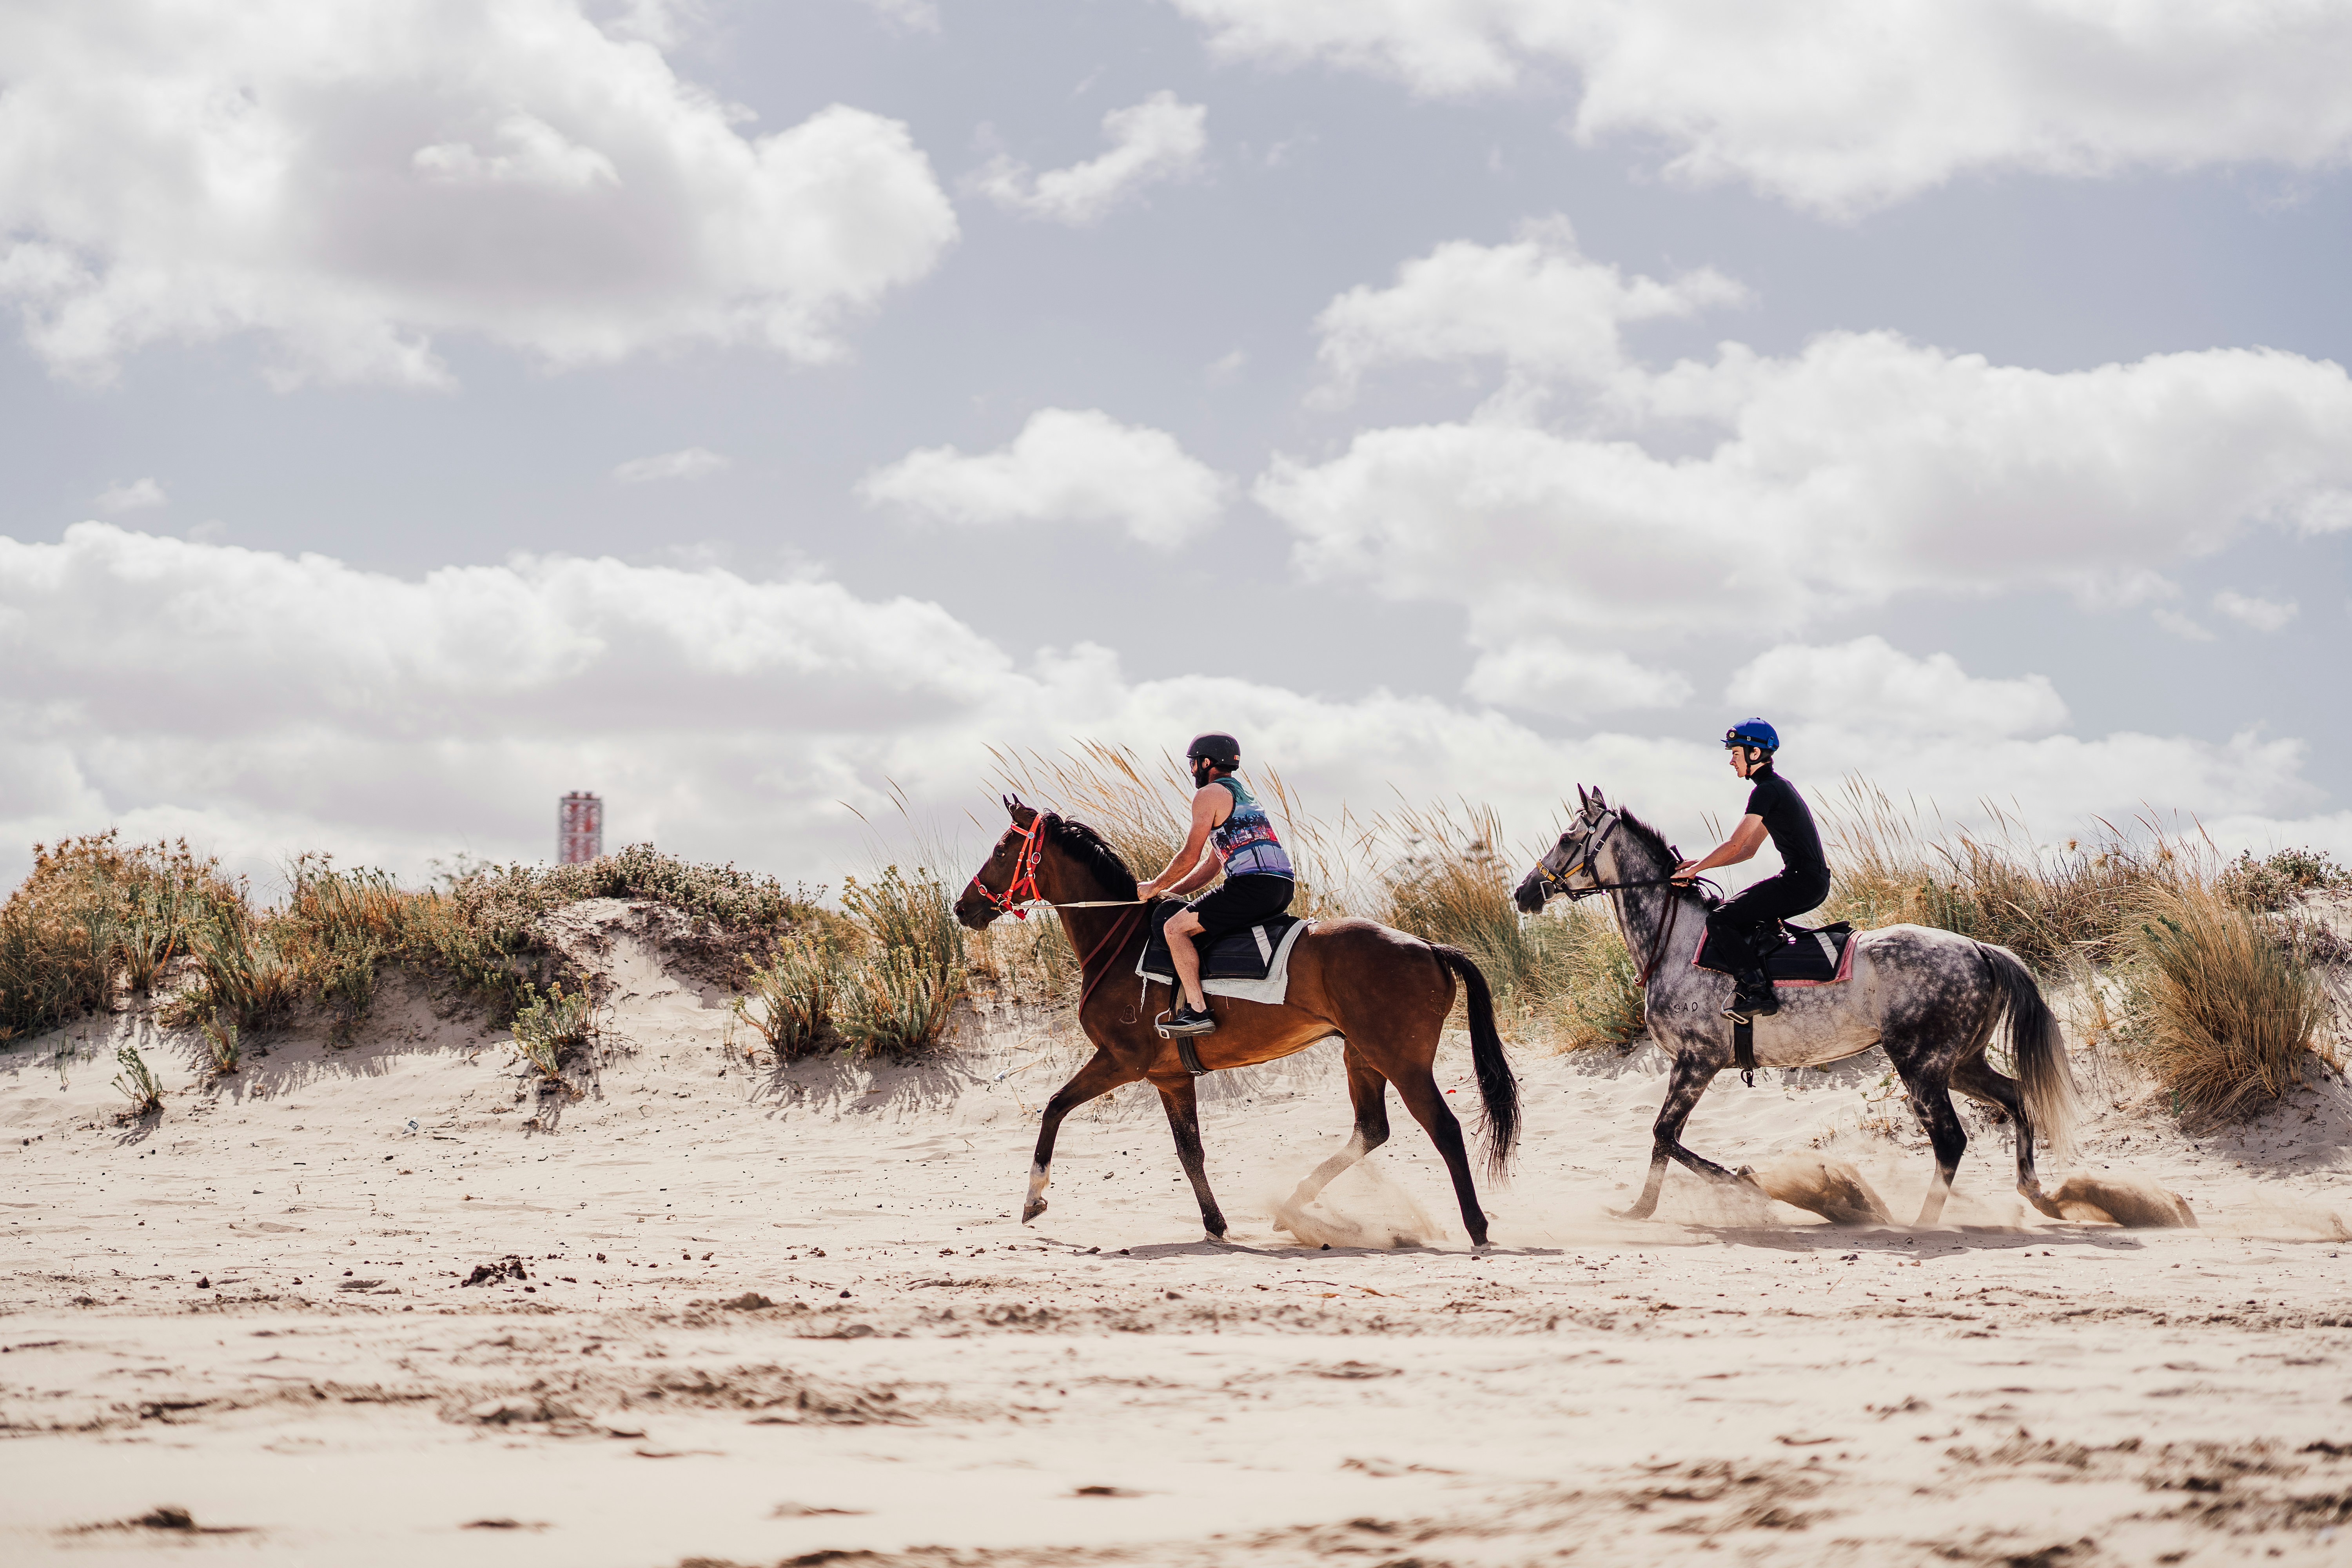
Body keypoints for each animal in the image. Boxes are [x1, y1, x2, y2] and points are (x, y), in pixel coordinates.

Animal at [955, 796, 1519, 1246]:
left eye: (1003, 848)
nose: (963, 907)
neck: (1121, 941)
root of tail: (1428, 946)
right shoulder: (1170, 1077)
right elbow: (1191, 1153)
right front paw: (1215, 1225)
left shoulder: (1121, 1061)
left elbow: (1054, 1107)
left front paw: (1034, 1197)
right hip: (1361, 1054)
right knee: (1371, 1130)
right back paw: (1294, 1208)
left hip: (1400, 1059)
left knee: (1443, 1128)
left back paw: (1477, 1228)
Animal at [1514, 786, 2076, 1227]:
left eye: (1567, 838)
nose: (1525, 893)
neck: (1676, 941)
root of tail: (1979, 948)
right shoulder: (1691, 1065)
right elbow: (1664, 1139)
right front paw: (1646, 1209)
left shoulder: (1697, 1062)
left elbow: (1665, 1135)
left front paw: (1740, 1184)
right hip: (1959, 1063)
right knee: (2016, 1097)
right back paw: (2037, 1194)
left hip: (1922, 1066)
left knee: (1951, 1141)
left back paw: (1920, 1221)